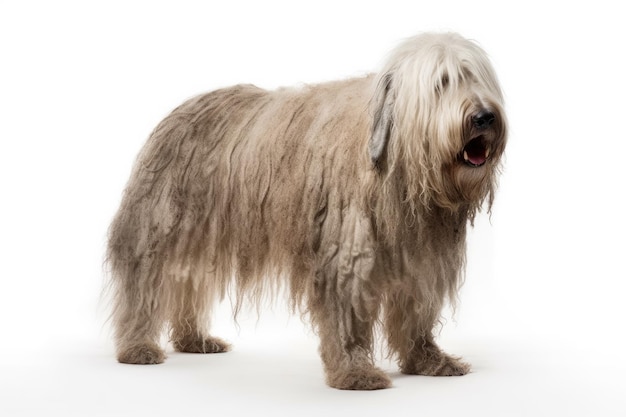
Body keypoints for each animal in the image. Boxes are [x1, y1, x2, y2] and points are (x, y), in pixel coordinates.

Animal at [107, 32, 504, 390]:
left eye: (478, 78)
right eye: (443, 82)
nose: (485, 117)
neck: (400, 167)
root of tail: (182, 108)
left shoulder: (422, 259)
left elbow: (416, 312)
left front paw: (428, 361)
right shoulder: (346, 257)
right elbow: (347, 315)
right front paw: (355, 372)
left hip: (203, 235)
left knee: (189, 281)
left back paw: (194, 340)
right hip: (162, 225)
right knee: (143, 284)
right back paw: (138, 346)